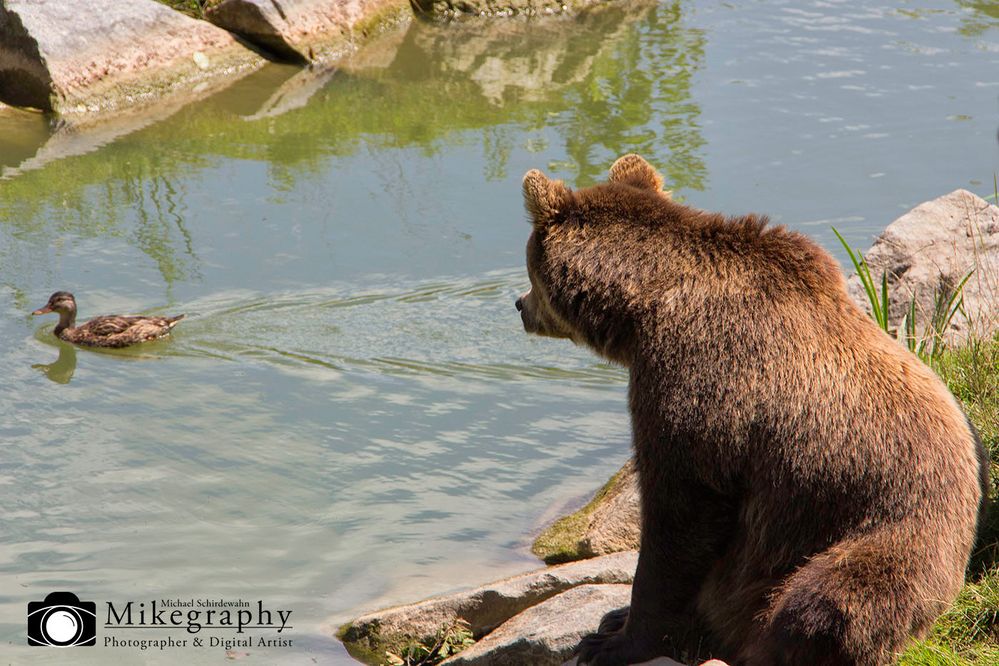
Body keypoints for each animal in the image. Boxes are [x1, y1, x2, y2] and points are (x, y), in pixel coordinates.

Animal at [520, 153, 988, 660]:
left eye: (527, 270)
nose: (519, 305)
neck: (644, 307)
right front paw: (615, 620)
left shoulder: (696, 381)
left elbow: (679, 513)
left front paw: (615, 640)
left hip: (882, 535)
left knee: (826, 605)